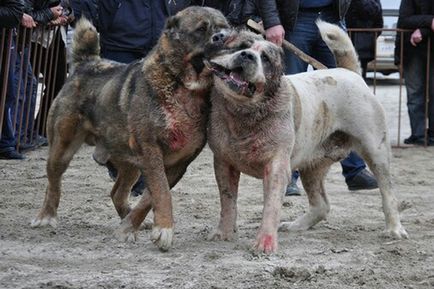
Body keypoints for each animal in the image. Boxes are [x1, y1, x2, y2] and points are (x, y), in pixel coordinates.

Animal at [30, 6, 231, 250]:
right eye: (202, 29)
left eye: (225, 28)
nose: (223, 36)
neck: (182, 86)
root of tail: (86, 63)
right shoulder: (151, 151)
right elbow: (161, 191)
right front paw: (164, 229)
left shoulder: (178, 161)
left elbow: (150, 196)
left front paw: (130, 227)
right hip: (62, 147)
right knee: (53, 182)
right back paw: (46, 216)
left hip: (130, 161)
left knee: (117, 192)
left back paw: (129, 219)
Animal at [206, 21, 406, 252]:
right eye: (240, 47)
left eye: (265, 58)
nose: (247, 55)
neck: (244, 112)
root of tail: (348, 72)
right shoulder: (223, 163)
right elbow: (227, 201)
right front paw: (223, 233)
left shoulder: (276, 166)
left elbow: (271, 206)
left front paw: (265, 242)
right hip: (312, 166)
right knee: (321, 204)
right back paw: (295, 225)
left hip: (375, 150)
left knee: (388, 192)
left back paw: (394, 229)